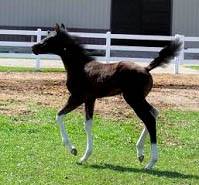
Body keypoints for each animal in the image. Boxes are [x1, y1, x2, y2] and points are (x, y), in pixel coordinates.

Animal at [32, 23, 182, 170]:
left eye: (48, 40)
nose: (34, 48)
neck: (80, 67)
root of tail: (146, 68)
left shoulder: (77, 97)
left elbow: (59, 116)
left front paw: (74, 150)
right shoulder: (90, 99)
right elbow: (87, 124)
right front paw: (83, 156)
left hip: (133, 99)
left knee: (149, 119)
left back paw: (151, 163)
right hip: (139, 98)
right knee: (154, 113)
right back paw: (140, 153)